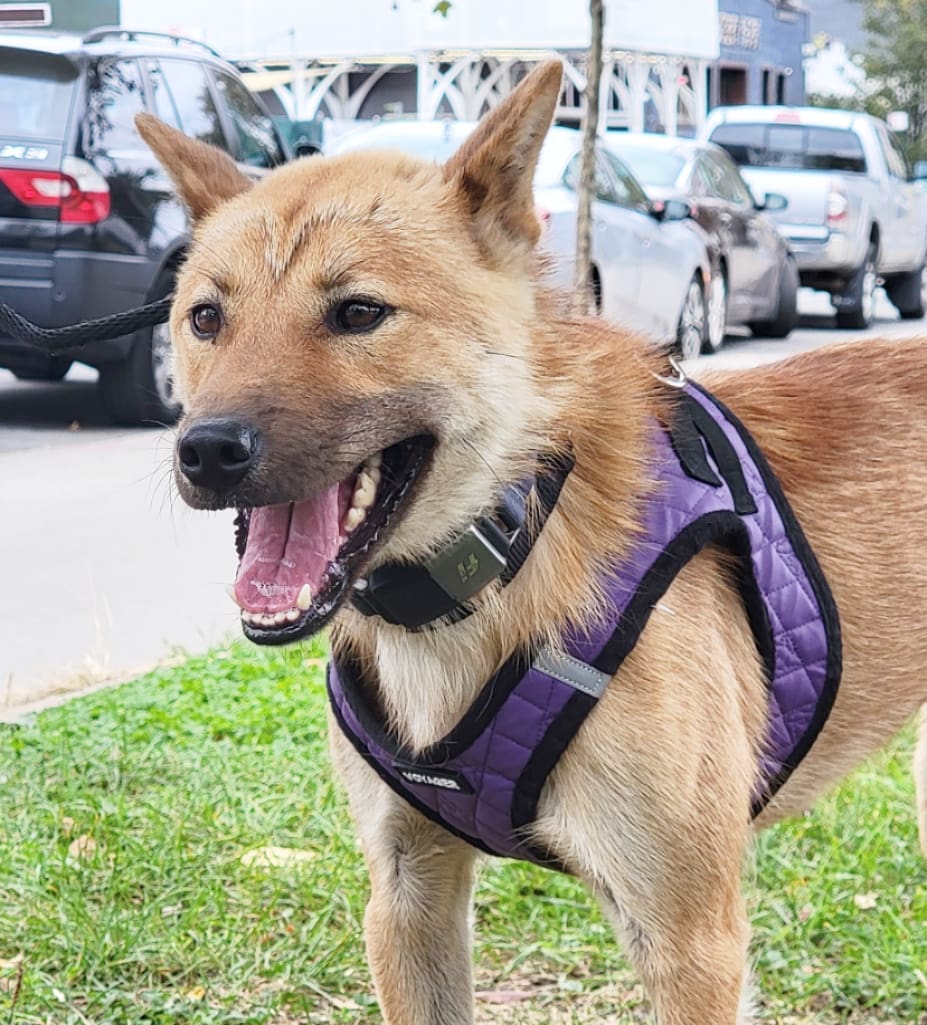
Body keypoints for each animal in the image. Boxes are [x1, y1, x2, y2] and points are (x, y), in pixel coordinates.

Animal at [137, 62, 927, 1025]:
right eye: (205, 318)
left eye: (358, 312)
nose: (208, 450)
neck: (497, 561)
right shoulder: (407, 895)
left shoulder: (689, 939)